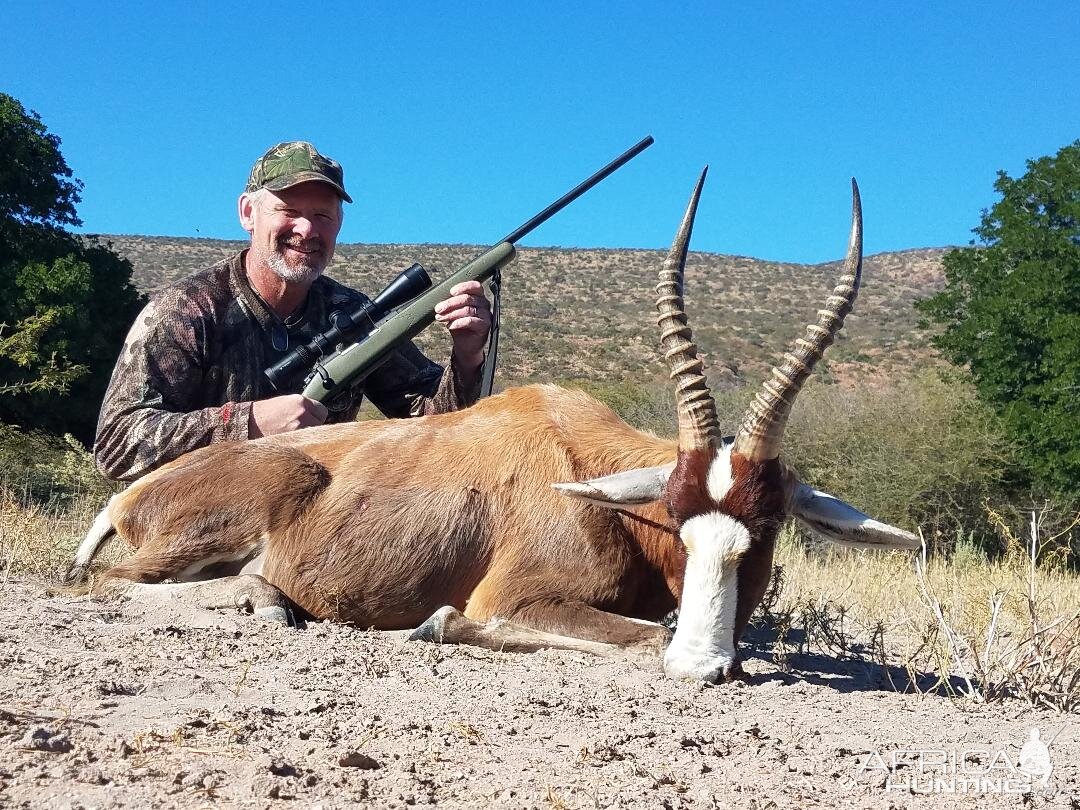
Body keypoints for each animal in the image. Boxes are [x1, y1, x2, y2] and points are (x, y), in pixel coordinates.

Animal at [67, 172, 915, 686]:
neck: (584, 469)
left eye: (766, 527)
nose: (703, 666)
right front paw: (432, 626)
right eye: (676, 516)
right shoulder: (516, 597)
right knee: (111, 585)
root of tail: (128, 498)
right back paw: (267, 602)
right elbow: (627, 635)